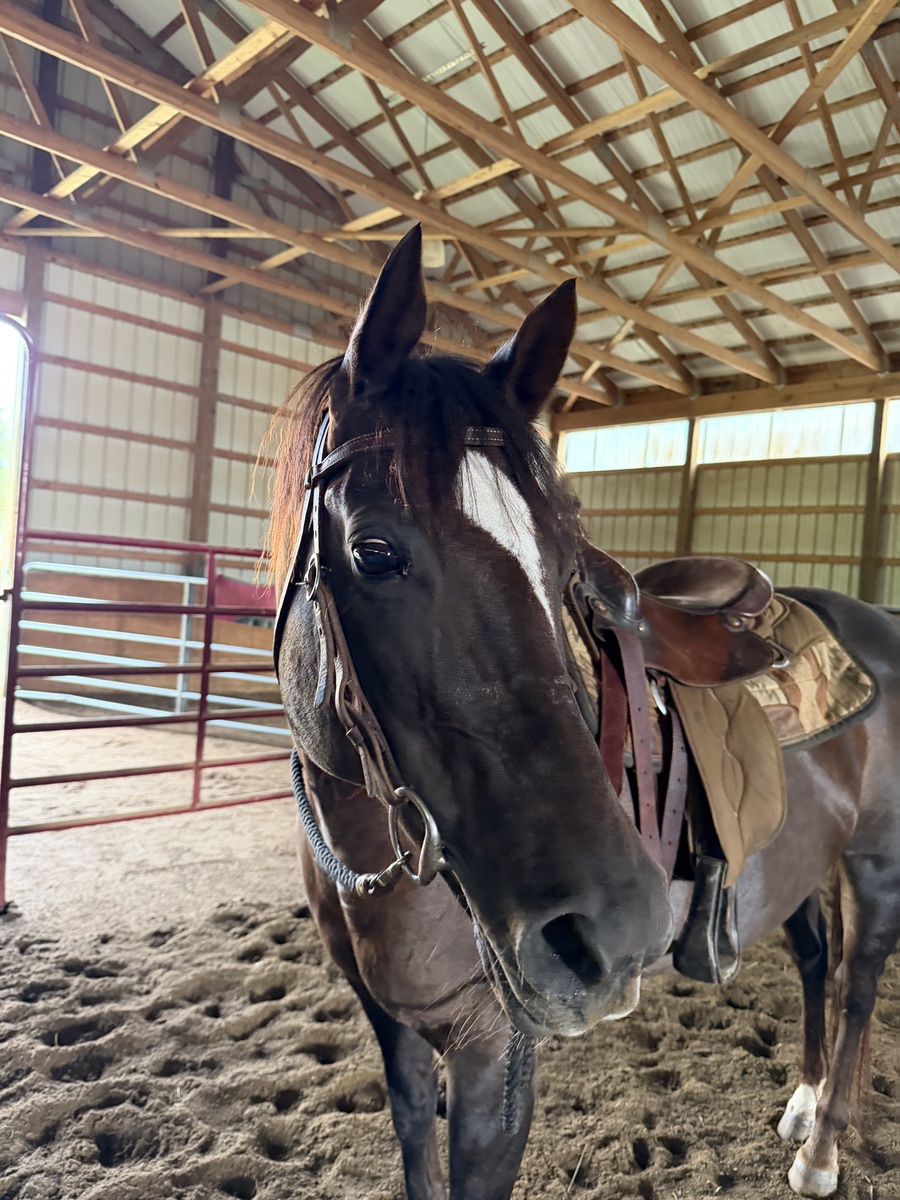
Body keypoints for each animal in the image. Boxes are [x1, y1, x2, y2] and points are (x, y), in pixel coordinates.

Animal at [266, 227, 900, 1200]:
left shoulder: (494, 1053)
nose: (613, 932)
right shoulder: (396, 1034)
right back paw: (802, 1102)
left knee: (859, 983)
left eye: (569, 561)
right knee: (815, 959)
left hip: (875, 865)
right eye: (373, 551)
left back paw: (822, 1150)